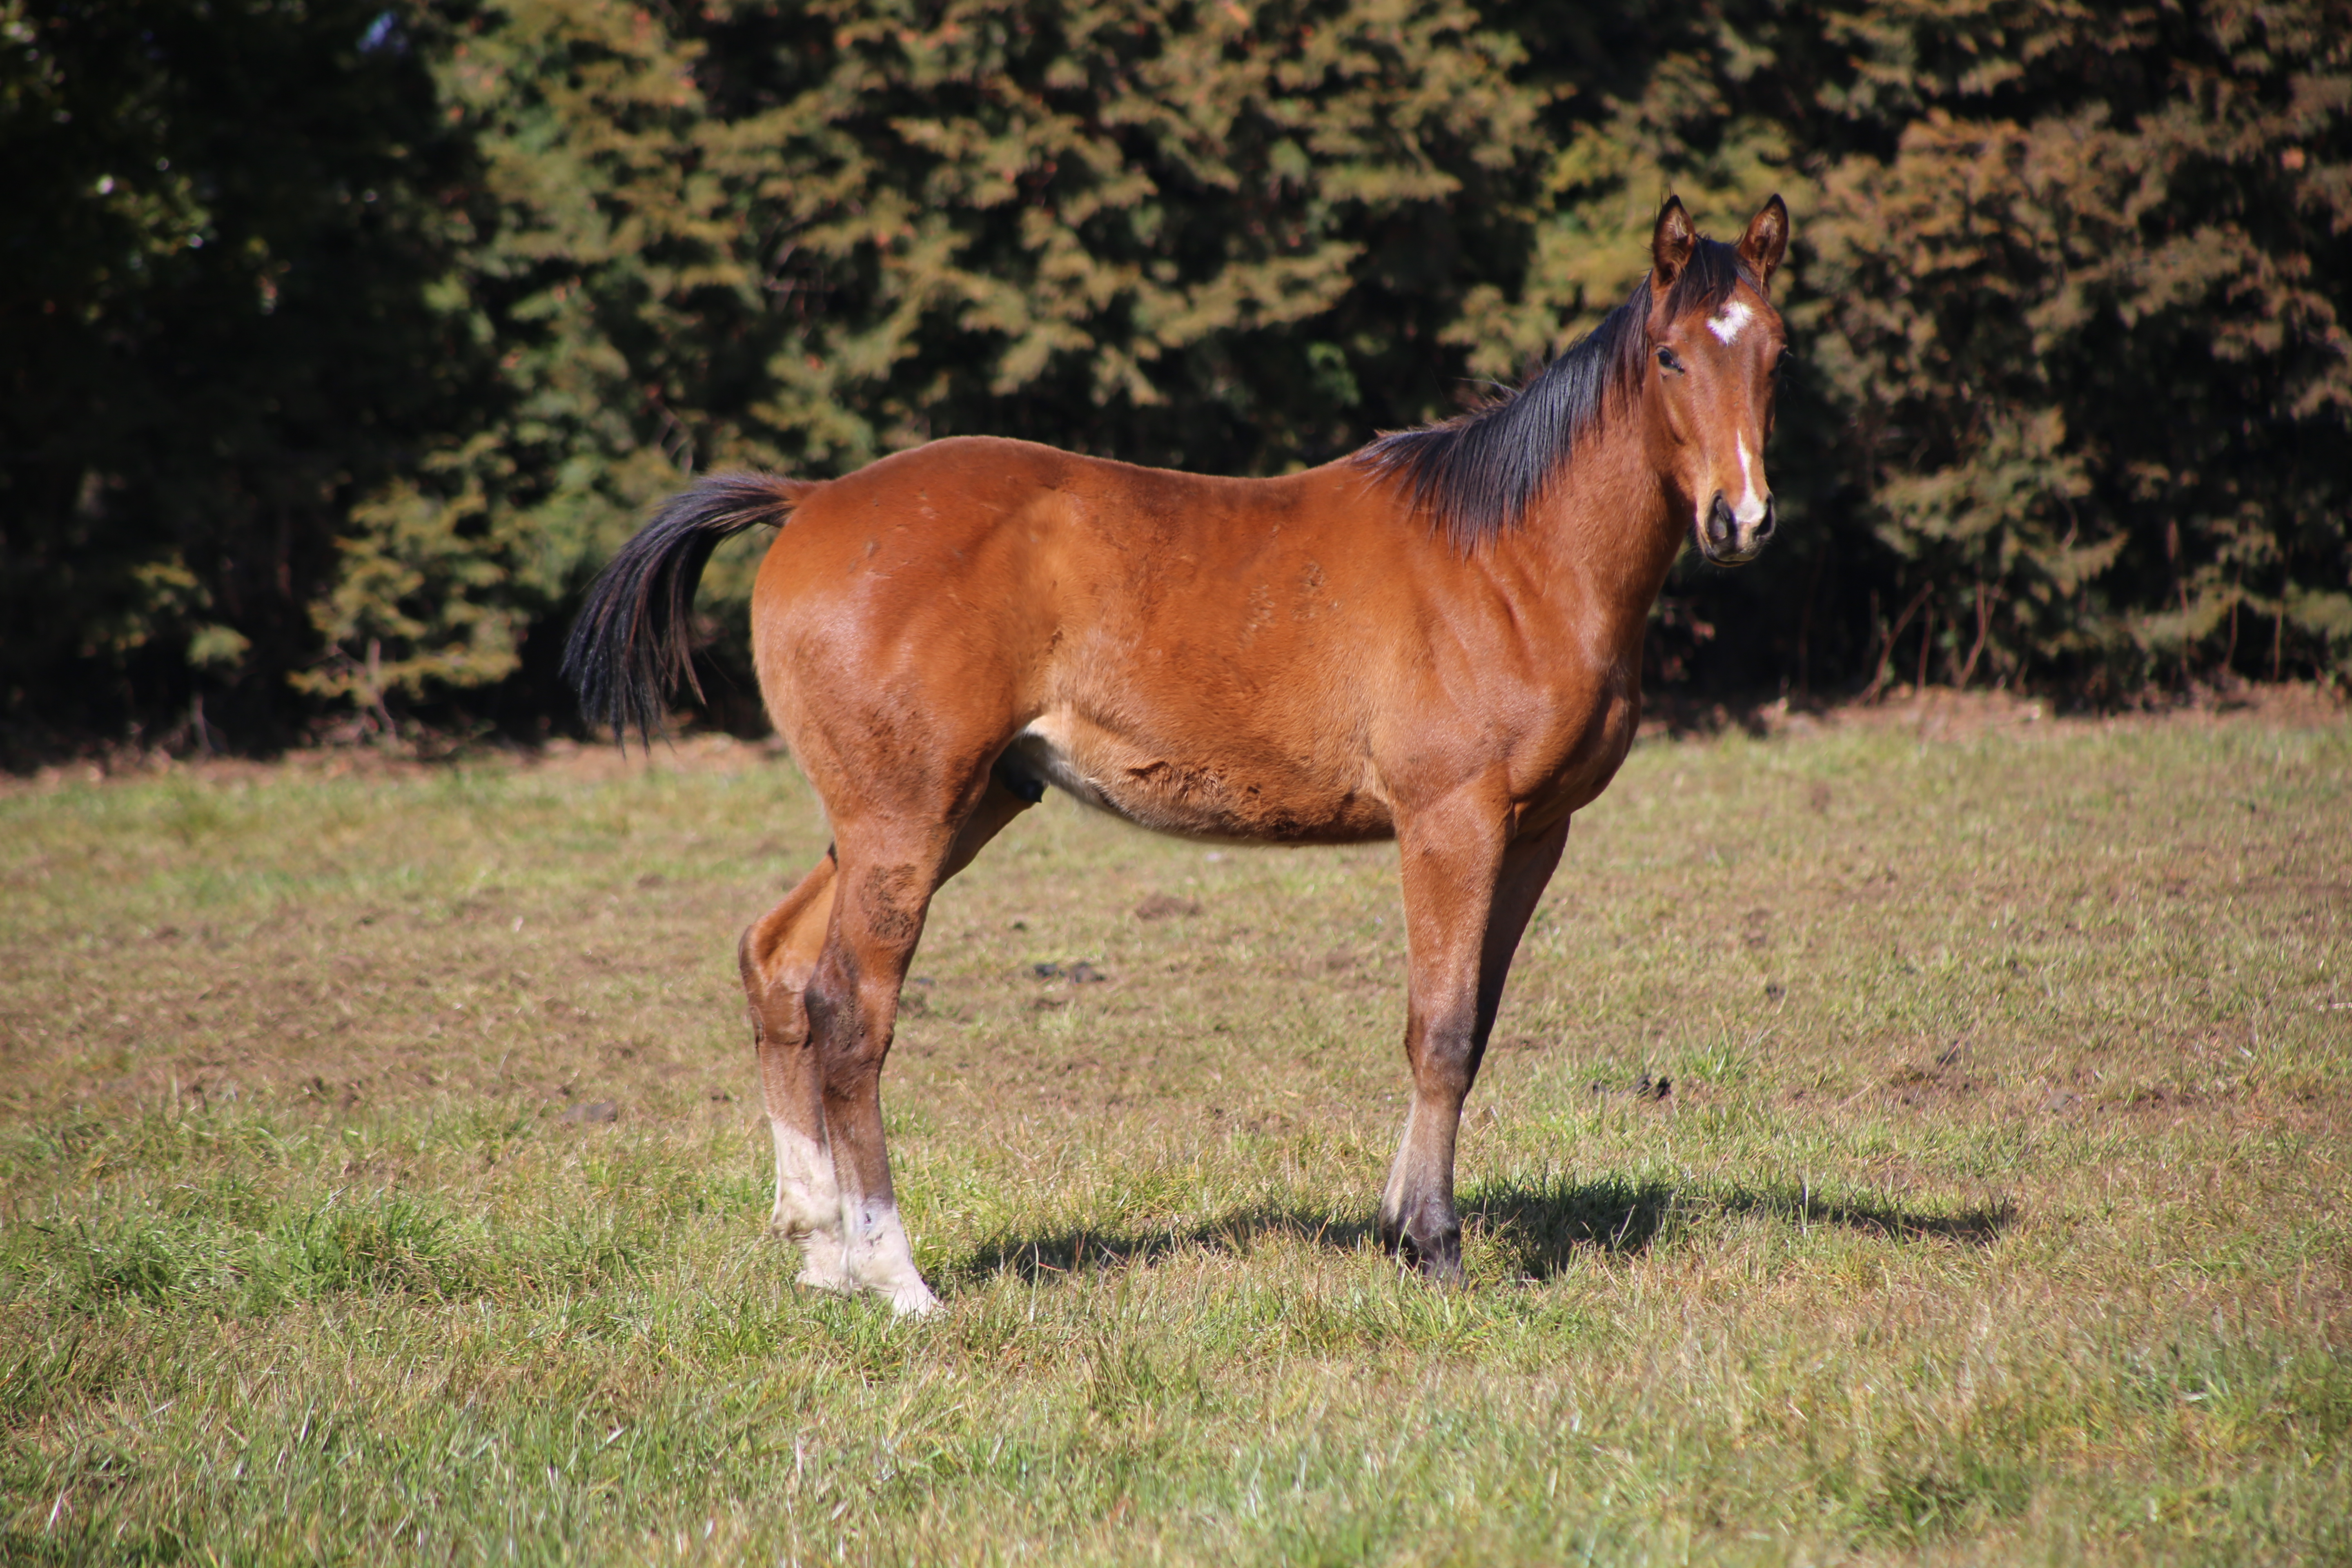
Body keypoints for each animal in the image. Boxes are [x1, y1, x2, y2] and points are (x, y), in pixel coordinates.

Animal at [564, 196, 1778, 1316]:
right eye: (1670, 355)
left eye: (1771, 349)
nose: (1743, 519)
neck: (1506, 555)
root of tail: (812, 500)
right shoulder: (1450, 820)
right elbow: (1435, 1031)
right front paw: (1432, 1248)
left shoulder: (1534, 833)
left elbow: (1471, 1027)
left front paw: (1397, 1224)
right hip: (905, 819)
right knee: (849, 1015)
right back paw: (898, 1278)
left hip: (939, 812)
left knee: (775, 962)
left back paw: (821, 1251)